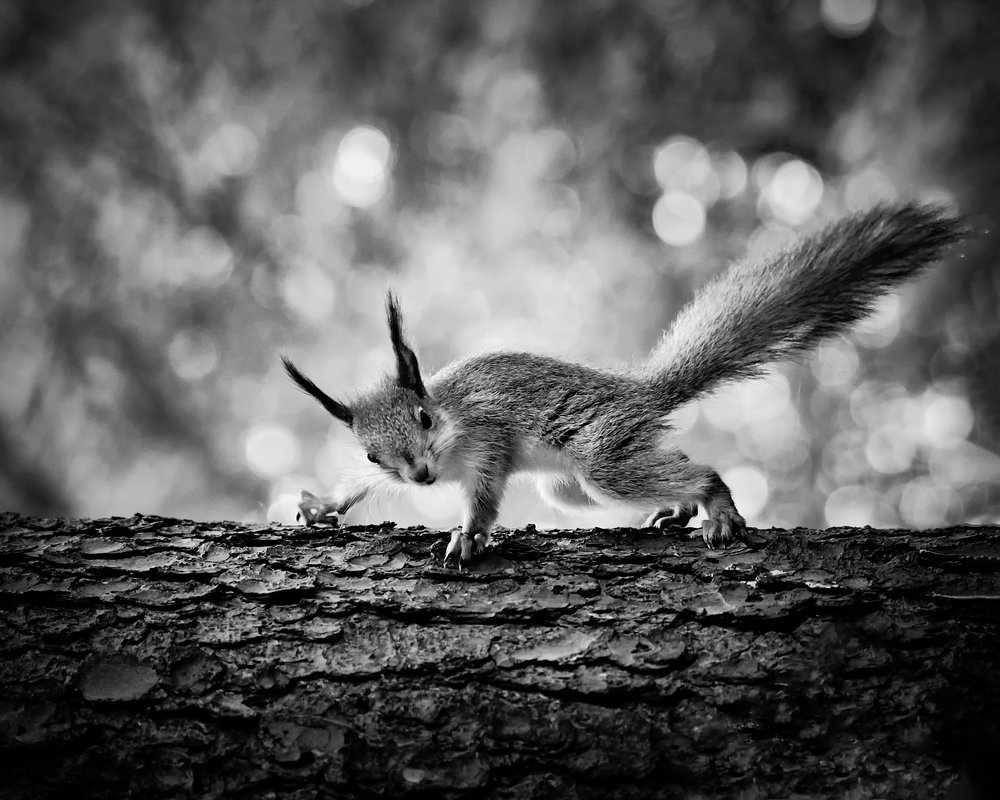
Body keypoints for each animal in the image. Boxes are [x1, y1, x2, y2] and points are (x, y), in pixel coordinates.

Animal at [282, 202, 964, 566]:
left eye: (424, 418)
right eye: (375, 454)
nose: (421, 477)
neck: (450, 428)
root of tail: (642, 393)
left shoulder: (490, 437)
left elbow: (485, 497)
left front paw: (468, 534)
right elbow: (353, 488)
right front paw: (322, 506)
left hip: (601, 456)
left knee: (696, 469)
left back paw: (714, 506)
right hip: (569, 487)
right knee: (664, 464)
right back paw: (679, 507)